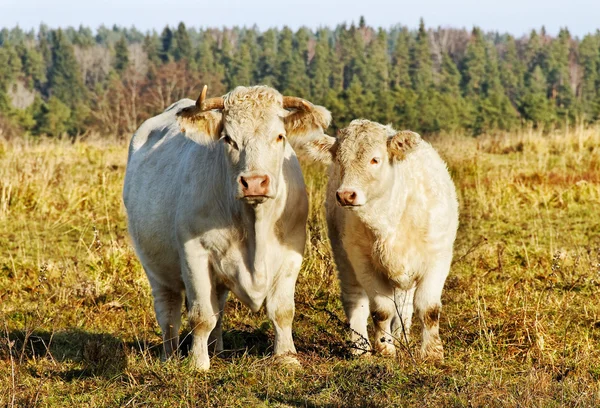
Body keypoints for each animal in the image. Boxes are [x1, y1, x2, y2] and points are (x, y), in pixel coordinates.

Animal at [122, 85, 332, 370]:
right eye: (229, 139)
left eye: (280, 136)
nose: (254, 182)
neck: (254, 226)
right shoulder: (194, 254)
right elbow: (200, 316)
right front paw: (198, 363)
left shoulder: (292, 252)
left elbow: (282, 310)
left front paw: (287, 358)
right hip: (156, 269)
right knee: (169, 312)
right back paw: (170, 356)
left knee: (218, 308)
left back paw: (217, 350)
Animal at [308, 120, 458, 360]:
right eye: (339, 160)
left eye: (375, 159)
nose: (346, 195)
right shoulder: (363, 262)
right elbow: (381, 310)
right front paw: (385, 347)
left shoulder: (438, 257)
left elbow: (428, 308)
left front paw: (432, 353)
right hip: (344, 257)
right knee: (356, 301)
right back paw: (360, 348)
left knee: (404, 306)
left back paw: (402, 338)